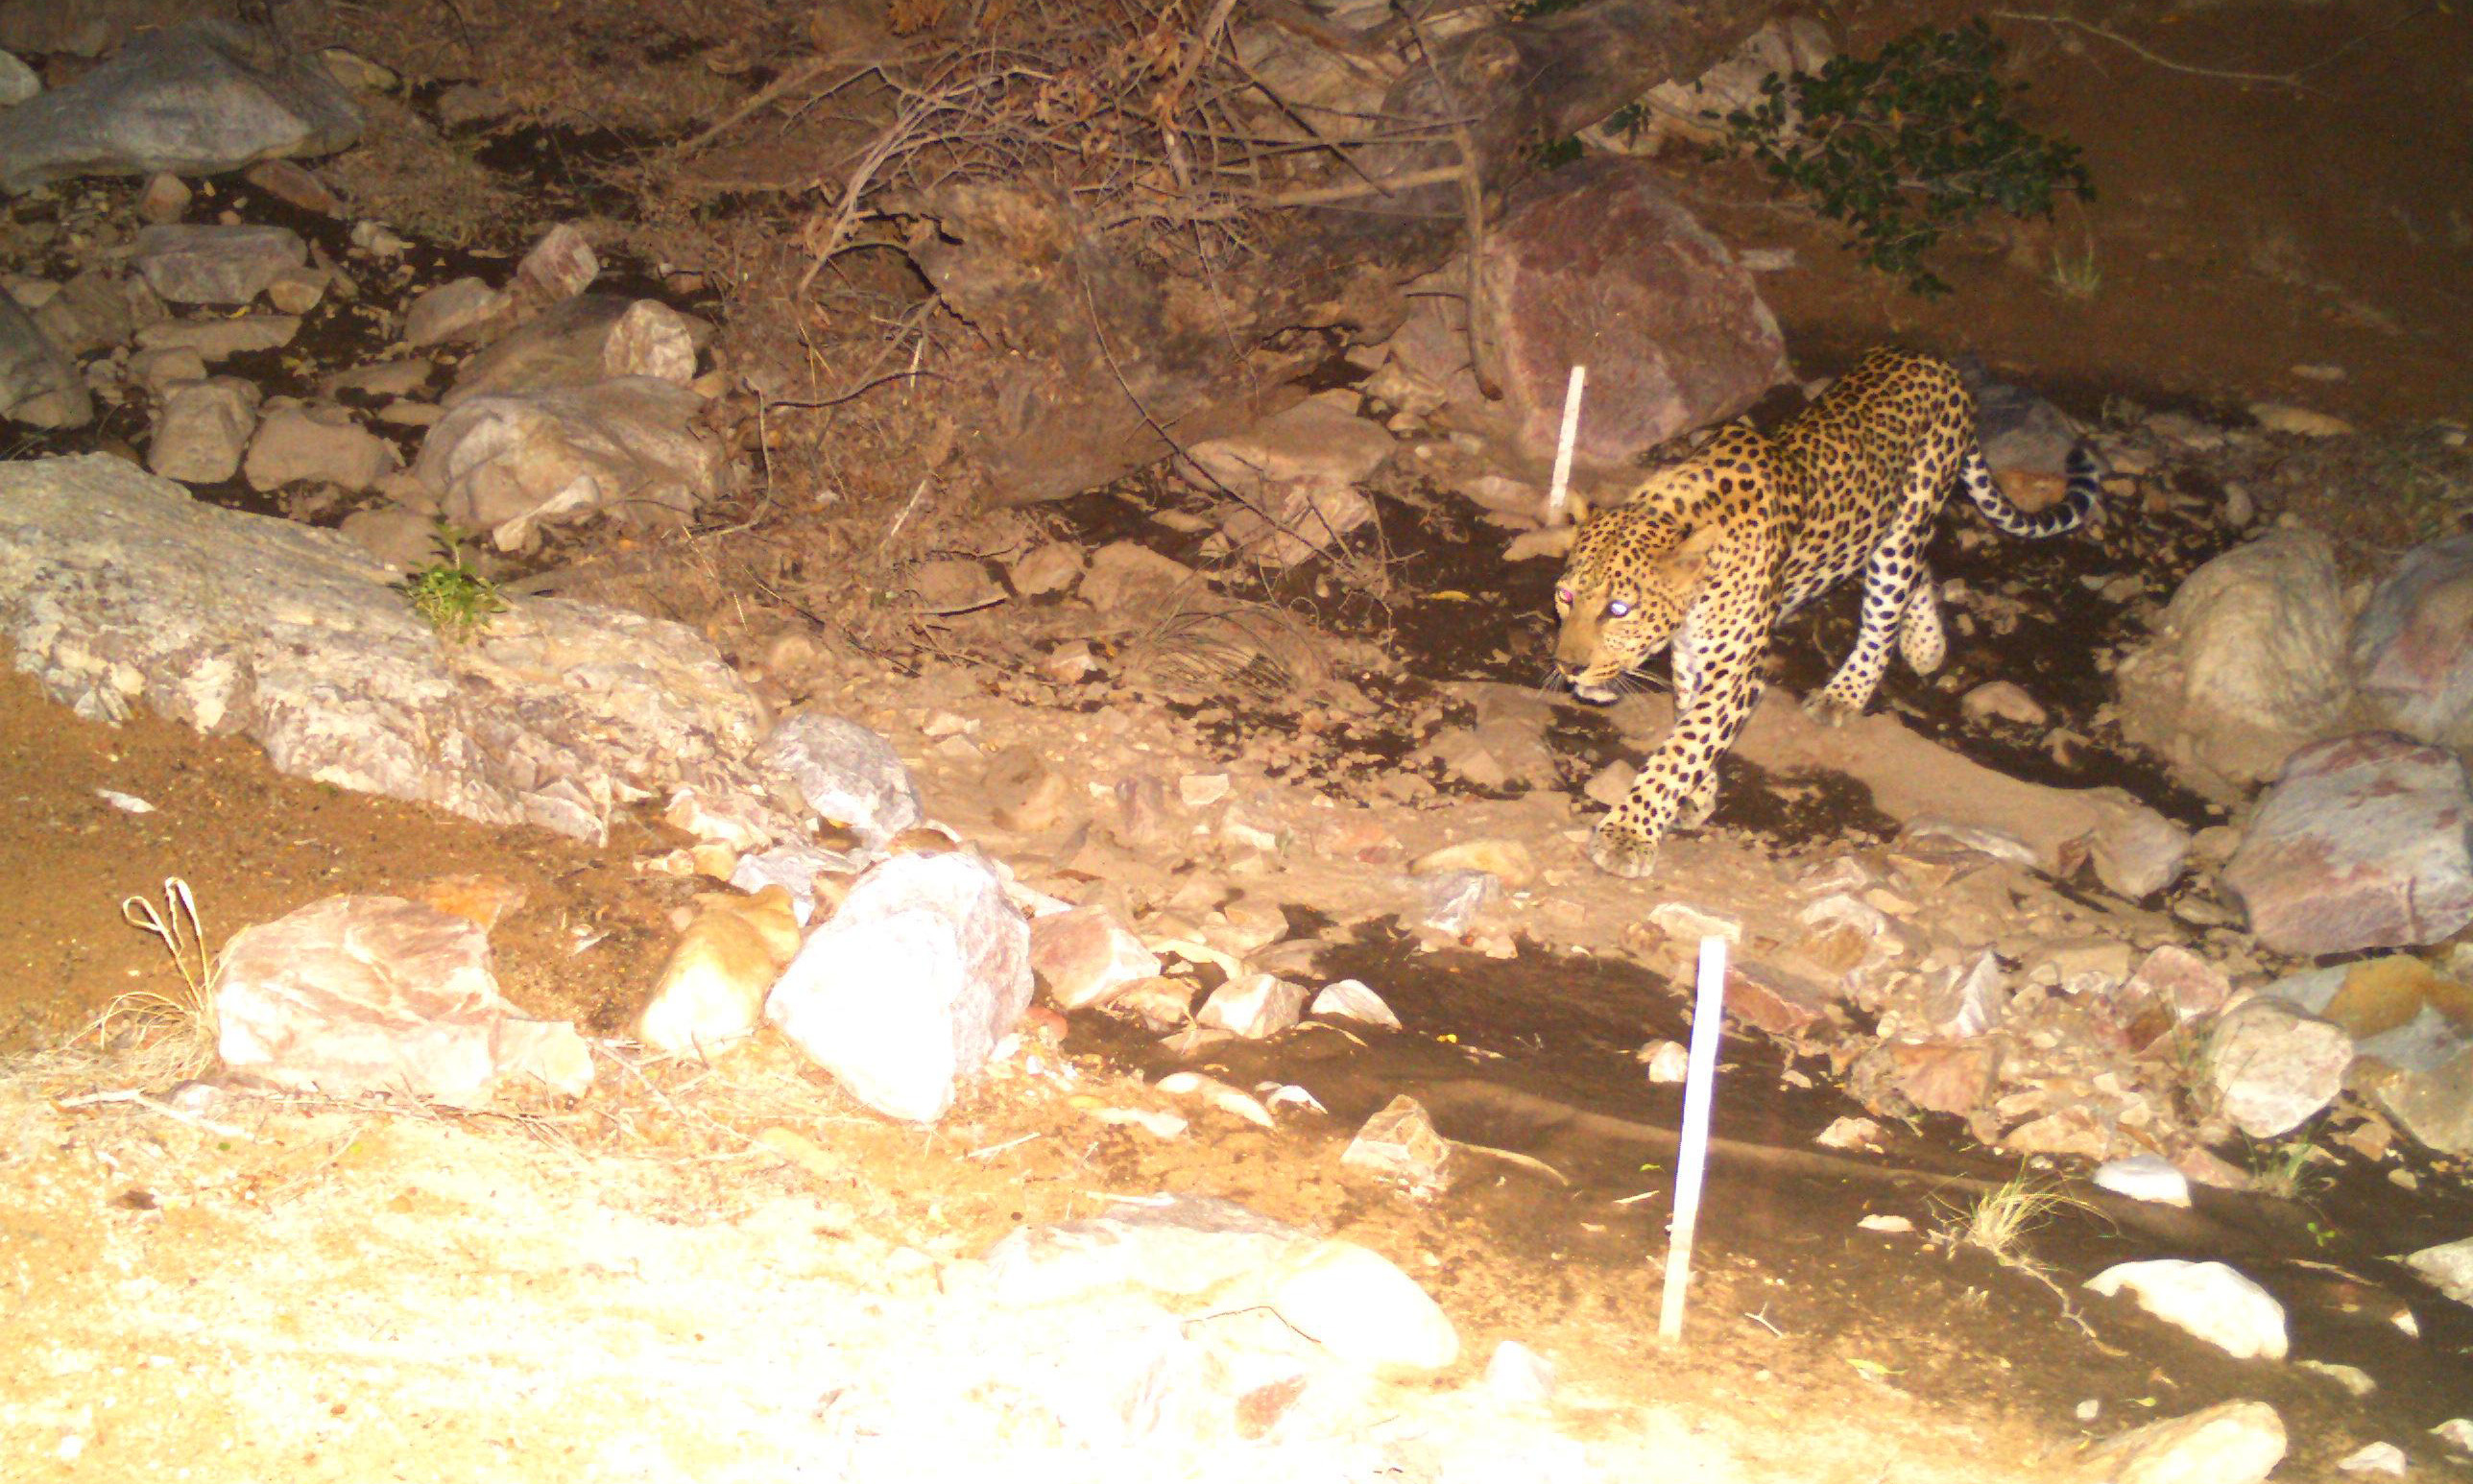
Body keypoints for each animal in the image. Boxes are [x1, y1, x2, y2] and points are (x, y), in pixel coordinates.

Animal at [1550, 347, 2102, 879]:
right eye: (1565, 597)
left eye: (1619, 609)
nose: (1568, 667)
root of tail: (1935, 360)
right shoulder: (1692, 657)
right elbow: (1688, 720)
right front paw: (1696, 796)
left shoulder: (1736, 673)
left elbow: (1683, 747)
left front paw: (1628, 835)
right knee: (1919, 570)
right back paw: (1925, 644)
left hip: (1908, 520)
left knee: (1886, 610)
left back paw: (1848, 691)